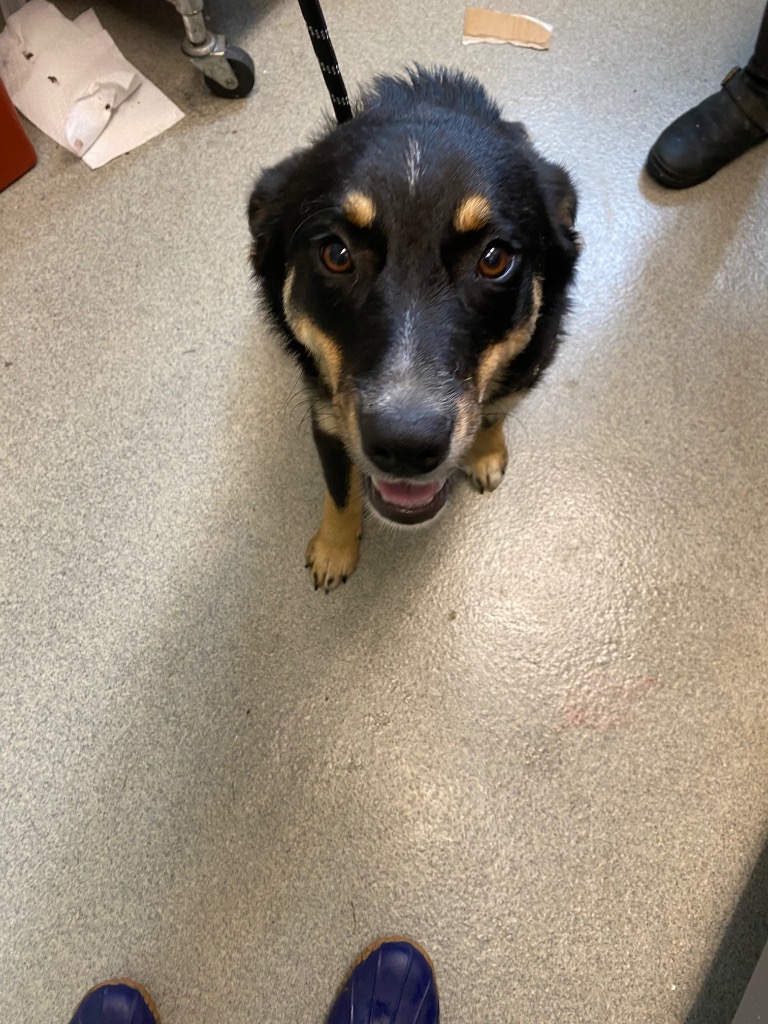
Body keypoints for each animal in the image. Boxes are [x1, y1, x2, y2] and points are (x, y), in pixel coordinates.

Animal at [249, 67, 580, 591]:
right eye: (336, 254)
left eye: (494, 259)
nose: (406, 444)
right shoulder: (325, 414)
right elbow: (339, 489)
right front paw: (335, 548)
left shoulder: (527, 370)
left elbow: (495, 415)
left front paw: (485, 454)